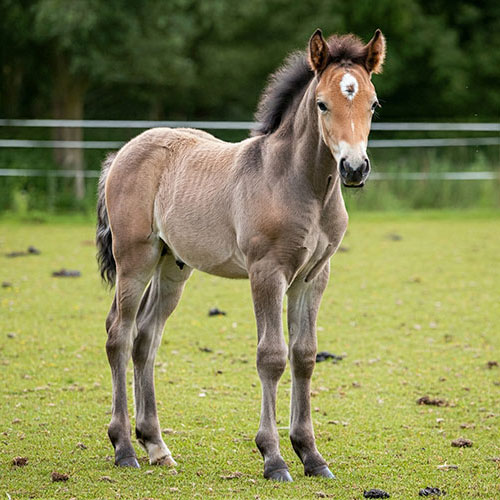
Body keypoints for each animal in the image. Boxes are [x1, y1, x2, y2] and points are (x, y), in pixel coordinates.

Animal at [96, 27, 385, 482]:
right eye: (322, 103)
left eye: (373, 104)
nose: (354, 169)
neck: (296, 182)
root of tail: (121, 153)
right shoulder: (267, 272)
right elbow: (272, 356)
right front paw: (274, 458)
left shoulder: (313, 276)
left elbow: (304, 355)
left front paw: (311, 454)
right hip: (134, 260)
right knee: (119, 334)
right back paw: (124, 447)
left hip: (172, 265)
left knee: (145, 337)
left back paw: (156, 445)